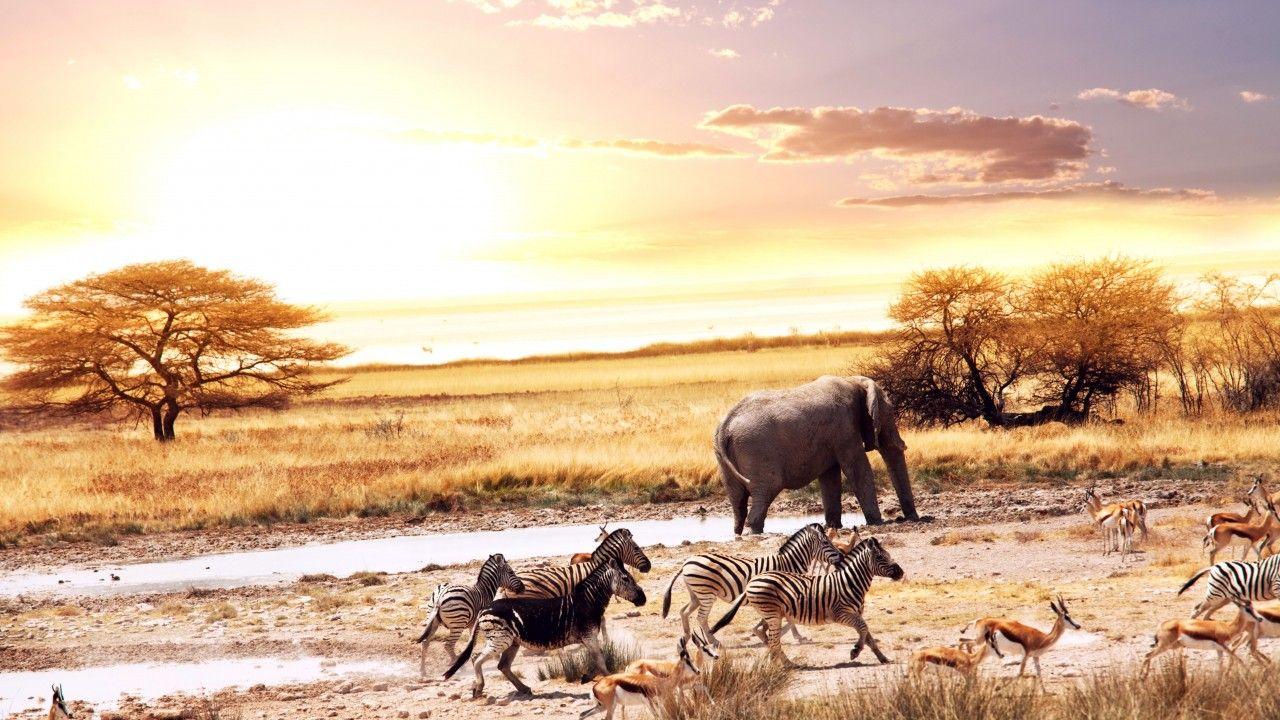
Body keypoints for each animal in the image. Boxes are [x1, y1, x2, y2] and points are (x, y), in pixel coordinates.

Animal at [443, 557, 647, 699]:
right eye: (626, 578)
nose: (643, 599)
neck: (587, 602)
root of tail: (484, 609)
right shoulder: (589, 636)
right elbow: (601, 661)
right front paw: (608, 680)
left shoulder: (588, 638)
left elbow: (597, 660)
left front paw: (587, 677)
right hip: (500, 640)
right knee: (477, 659)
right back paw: (478, 688)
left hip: (512, 642)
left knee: (503, 665)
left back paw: (524, 688)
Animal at [660, 522, 845, 647]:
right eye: (826, 543)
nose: (842, 557)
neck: (788, 563)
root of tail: (687, 561)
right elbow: (788, 619)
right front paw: (795, 637)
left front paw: (785, 635)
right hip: (706, 594)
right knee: (701, 618)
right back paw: (713, 641)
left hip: (696, 594)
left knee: (684, 611)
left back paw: (686, 636)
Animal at [710, 536, 904, 665]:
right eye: (880, 557)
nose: (901, 572)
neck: (849, 582)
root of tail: (752, 580)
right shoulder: (841, 614)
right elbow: (863, 629)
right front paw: (855, 651)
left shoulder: (857, 613)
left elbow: (868, 635)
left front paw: (882, 657)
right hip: (773, 614)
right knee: (773, 640)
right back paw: (783, 664)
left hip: (772, 614)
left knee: (765, 635)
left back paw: (781, 663)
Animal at [714, 375, 918, 535]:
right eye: (889, 413)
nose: (911, 519)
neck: (853, 381)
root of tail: (725, 425)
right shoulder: (844, 428)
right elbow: (858, 469)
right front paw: (877, 522)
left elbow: (830, 477)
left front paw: (834, 526)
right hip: (756, 449)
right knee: (767, 489)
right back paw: (755, 532)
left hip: (724, 456)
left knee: (738, 500)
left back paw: (739, 533)